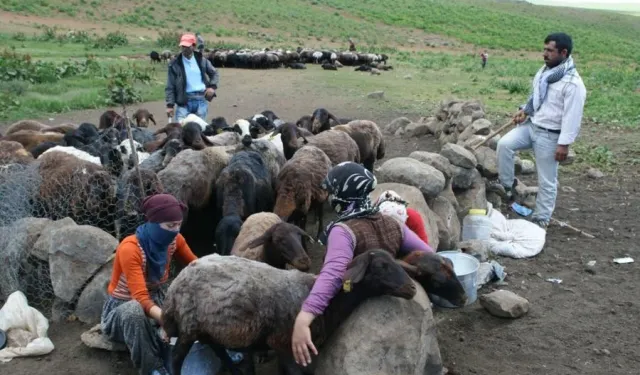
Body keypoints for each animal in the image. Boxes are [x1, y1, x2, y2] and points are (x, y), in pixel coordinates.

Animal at [162, 250, 418, 375]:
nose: (413, 288)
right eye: (381, 266)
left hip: (209, 327)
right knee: (175, 359)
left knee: (217, 348)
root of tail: (178, 281)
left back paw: (235, 369)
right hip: (188, 326)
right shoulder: (285, 344)